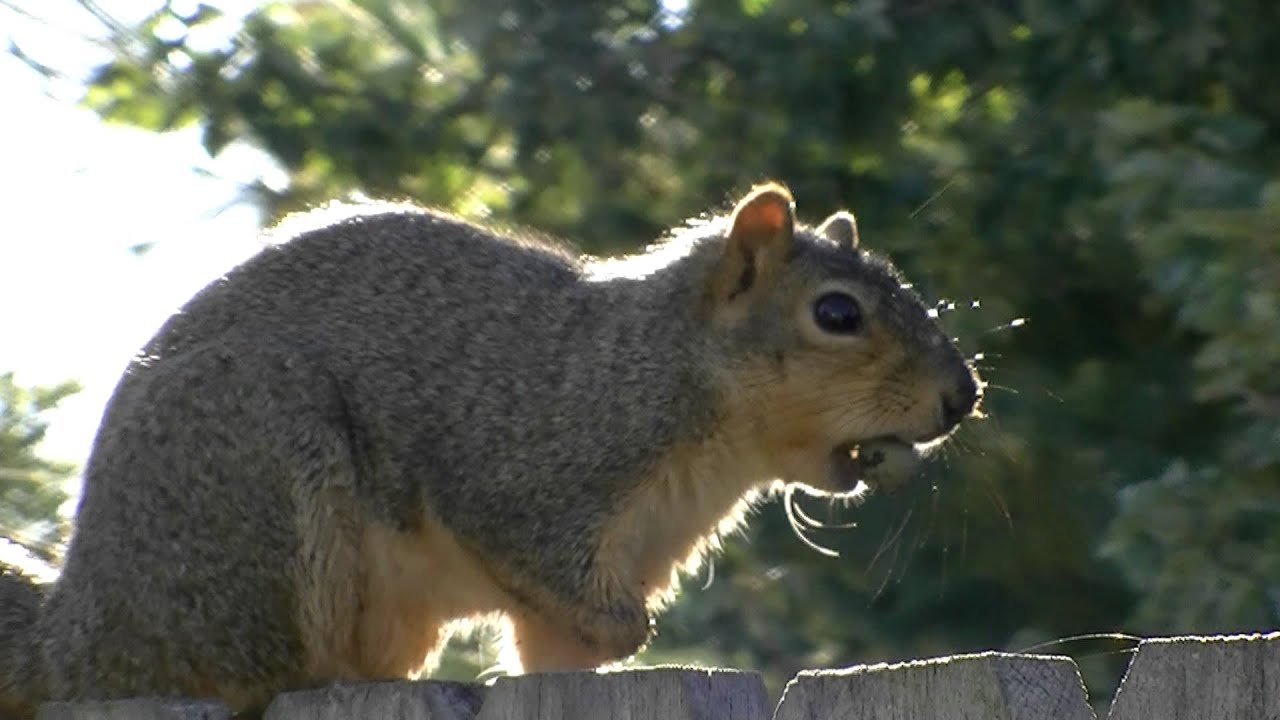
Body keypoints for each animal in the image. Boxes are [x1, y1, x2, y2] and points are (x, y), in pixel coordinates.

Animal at [0, 182, 980, 717]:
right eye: (837, 314)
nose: (960, 397)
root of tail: (78, 633)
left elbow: (559, 651)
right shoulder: (527, 465)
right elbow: (523, 547)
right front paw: (632, 632)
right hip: (258, 464)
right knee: (257, 667)